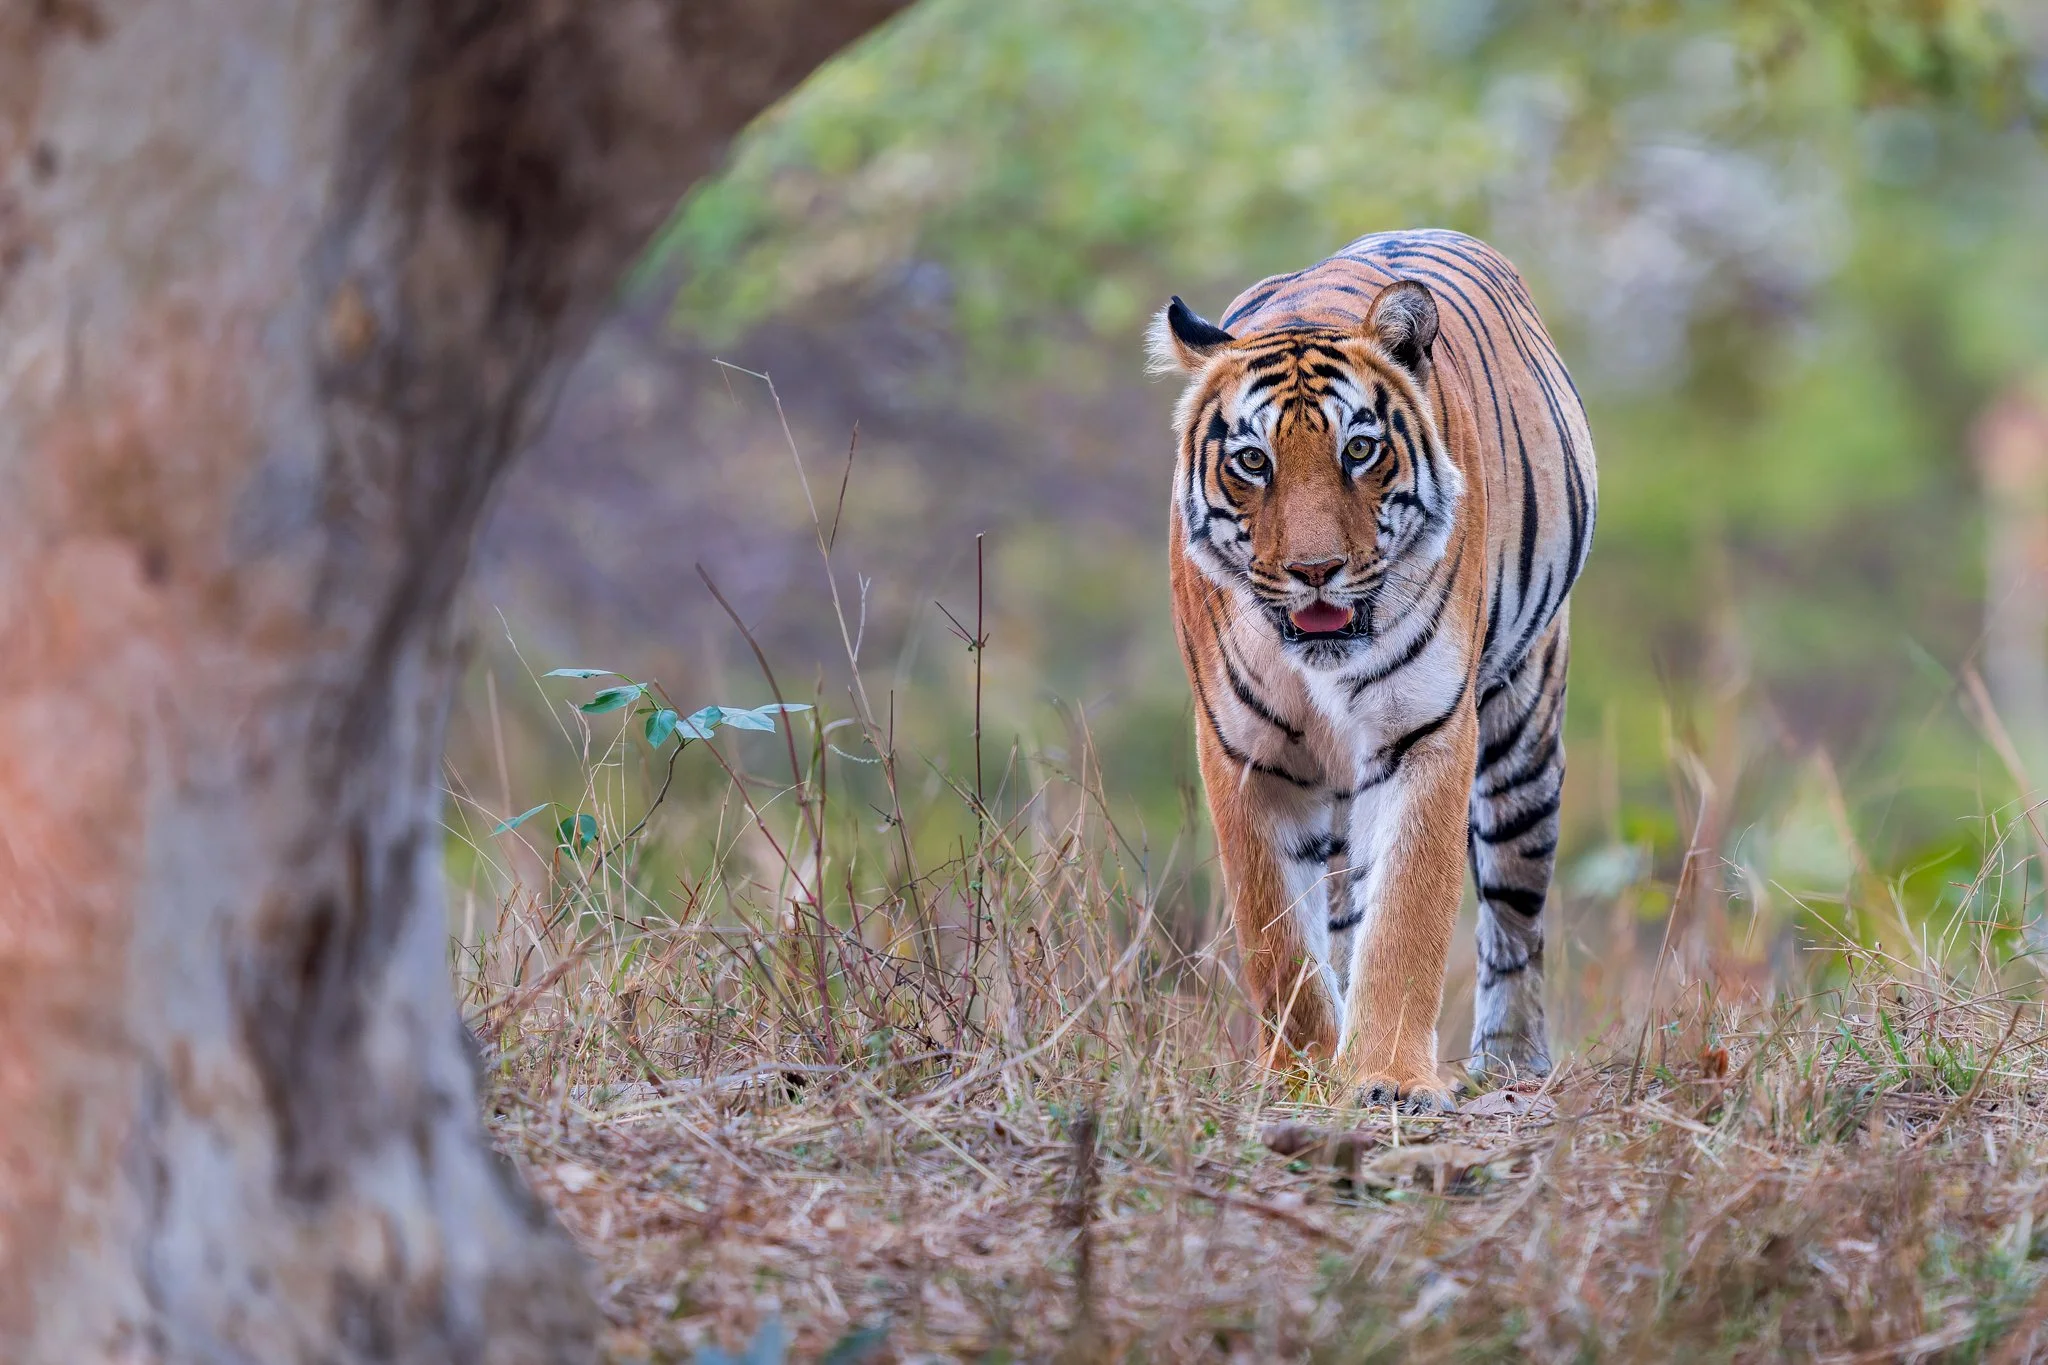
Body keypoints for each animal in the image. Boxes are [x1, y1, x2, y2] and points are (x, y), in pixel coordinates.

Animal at [1152, 229, 1595, 1109]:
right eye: (1252, 462)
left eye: (1359, 449)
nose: (1315, 570)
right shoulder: (1244, 751)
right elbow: (1278, 939)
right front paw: (1301, 1074)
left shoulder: (1425, 730)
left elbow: (1407, 917)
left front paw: (1389, 1078)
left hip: (1524, 729)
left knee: (1513, 916)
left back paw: (1509, 1059)